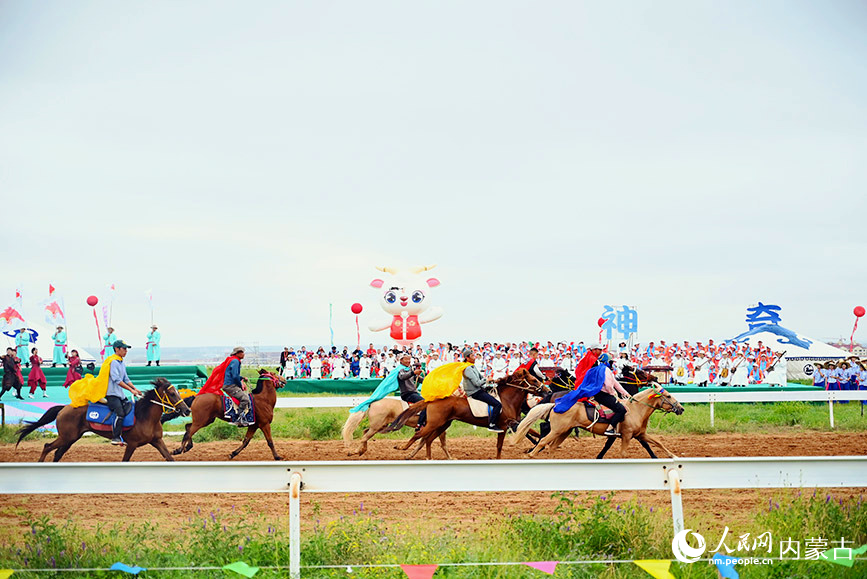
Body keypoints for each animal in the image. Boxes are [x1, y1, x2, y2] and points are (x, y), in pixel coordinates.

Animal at [16, 378, 190, 464]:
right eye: (172, 394)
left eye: (178, 392)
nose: (187, 410)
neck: (145, 417)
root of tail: (64, 407)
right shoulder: (132, 444)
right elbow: (125, 460)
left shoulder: (157, 441)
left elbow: (170, 458)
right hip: (66, 437)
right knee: (47, 446)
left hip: (70, 439)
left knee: (57, 453)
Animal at [384, 370, 544, 460]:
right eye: (534, 380)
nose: (546, 390)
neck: (506, 401)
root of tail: (433, 399)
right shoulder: (504, 426)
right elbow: (500, 446)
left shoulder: (514, 423)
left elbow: (532, 432)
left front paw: (538, 445)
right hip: (434, 423)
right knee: (419, 435)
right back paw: (402, 448)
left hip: (443, 424)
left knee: (428, 439)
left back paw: (428, 458)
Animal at [508, 388, 684, 460]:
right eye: (668, 395)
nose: (681, 408)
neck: (634, 409)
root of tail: (554, 404)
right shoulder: (627, 436)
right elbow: (623, 453)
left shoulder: (640, 434)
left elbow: (658, 443)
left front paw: (672, 456)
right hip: (557, 430)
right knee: (544, 440)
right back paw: (531, 454)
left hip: (564, 431)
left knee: (551, 446)